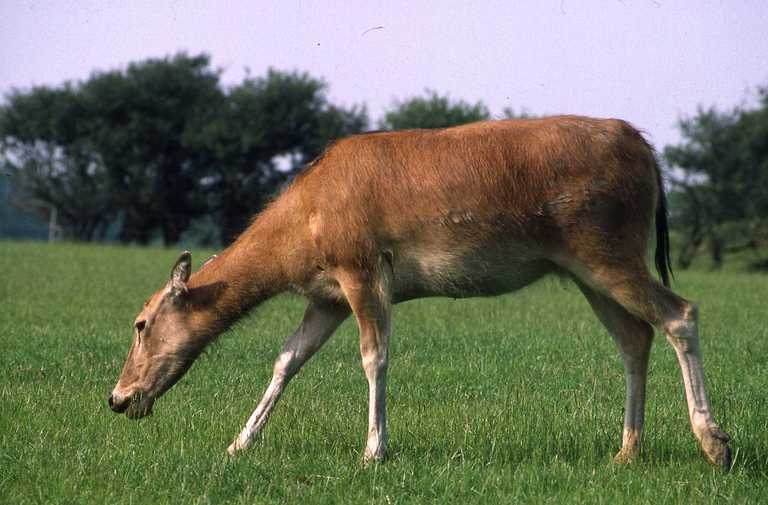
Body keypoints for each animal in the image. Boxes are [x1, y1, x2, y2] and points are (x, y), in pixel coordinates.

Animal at [106, 115, 732, 468]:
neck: (299, 239)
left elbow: (374, 355)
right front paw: (239, 444)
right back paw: (626, 451)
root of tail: (650, 154)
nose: (117, 397)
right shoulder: (326, 295)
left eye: (140, 322)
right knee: (635, 337)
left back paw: (716, 445)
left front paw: (373, 451)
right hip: (585, 268)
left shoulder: (360, 267)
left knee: (680, 312)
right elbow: (287, 359)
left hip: (607, 245)